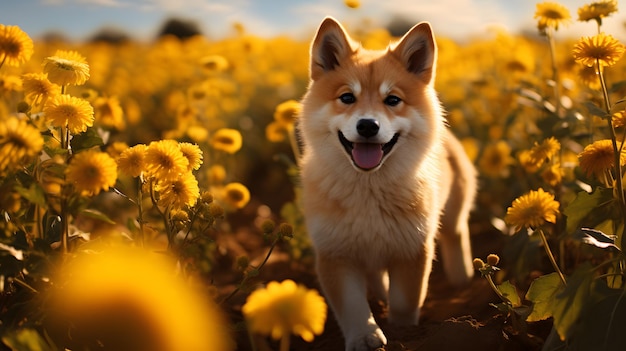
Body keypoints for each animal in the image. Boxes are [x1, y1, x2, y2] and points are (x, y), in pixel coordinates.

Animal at [298, 17, 472, 351]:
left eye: (393, 100)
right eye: (347, 98)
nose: (368, 125)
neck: (369, 194)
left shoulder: (412, 249)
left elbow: (405, 302)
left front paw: (404, 332)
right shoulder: (335, 254)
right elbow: (353, 307)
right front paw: (365, 336)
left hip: (454, 216)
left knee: (457, 238)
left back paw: (465, 283)